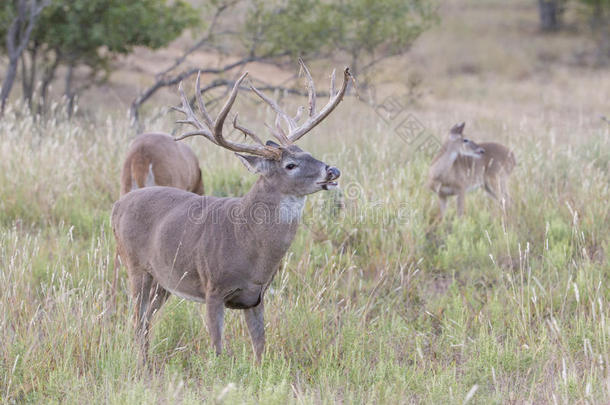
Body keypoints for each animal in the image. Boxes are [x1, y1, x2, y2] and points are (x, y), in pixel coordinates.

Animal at [111, 60, 350, 362]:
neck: (247, 240)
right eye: (290, 165)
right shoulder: (213, 287)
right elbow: (217, 349)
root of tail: (117, 206)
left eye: (307, 152)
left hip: (162, 281)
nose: (332, 171)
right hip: (136, 267)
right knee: (137, 320)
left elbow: (260, 347)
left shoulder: (257, 295)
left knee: (144, 320)